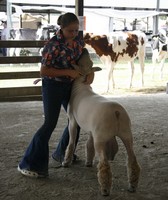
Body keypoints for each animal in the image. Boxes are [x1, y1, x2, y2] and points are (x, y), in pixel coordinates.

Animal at [63, 48, 140, 197]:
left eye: (81, 61)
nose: (85, 49)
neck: (81, 85)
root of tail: (116, 112)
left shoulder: (73, 120)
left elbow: (71, 142)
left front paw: (66, 162)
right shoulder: (91, 130)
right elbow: (88, 145)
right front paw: (88, 162)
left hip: (101, 137)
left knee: (104, 164)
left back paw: (105, 189)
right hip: (127, 133)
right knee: (132, 160)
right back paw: (132, 186)